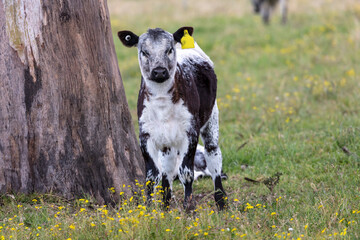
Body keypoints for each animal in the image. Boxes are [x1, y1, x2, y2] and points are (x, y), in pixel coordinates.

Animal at [117, 26, 225, 210]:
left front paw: (189, 207)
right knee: (167, 167)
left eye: (169, 50)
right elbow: (151, 176)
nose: (159, 71)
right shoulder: (145, 134)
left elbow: (186, 173)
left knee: (213, 156)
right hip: (167, 140)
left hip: (211, 117)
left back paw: (221, 201)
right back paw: (166, 204)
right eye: (144, 51)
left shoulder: (191, 132)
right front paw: (149, 209)